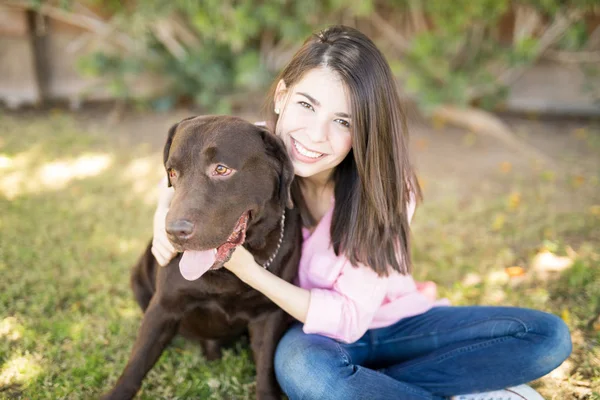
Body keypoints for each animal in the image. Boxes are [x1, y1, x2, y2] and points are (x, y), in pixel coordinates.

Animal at [102, 115, 302, 400]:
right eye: (172, 172)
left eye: (221, 169)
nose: (174, 231)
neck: (225, 273)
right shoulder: (164, 305)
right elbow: (137, 363)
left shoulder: (268, 314)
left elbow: (265, 370)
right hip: (138, 276)